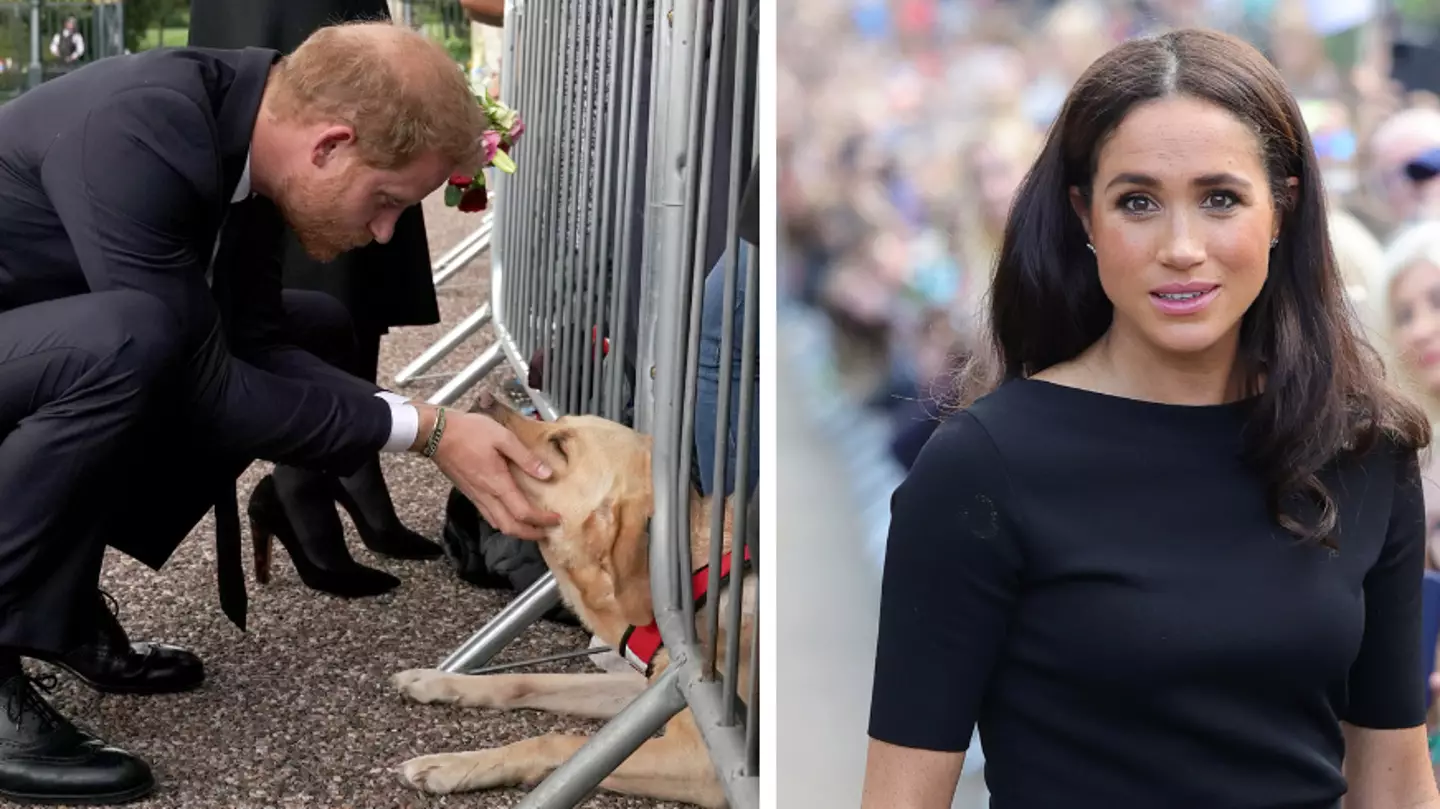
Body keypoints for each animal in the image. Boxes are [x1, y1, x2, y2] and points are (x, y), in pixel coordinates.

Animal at [394, 388, 754, 800]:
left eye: (560, 446)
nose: (484, 397)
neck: (697, 581)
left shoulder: (699, 760)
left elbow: (554, 741)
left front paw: (454, 766)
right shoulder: (650, 691)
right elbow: (525, 681)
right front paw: (435, 682)